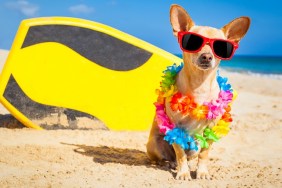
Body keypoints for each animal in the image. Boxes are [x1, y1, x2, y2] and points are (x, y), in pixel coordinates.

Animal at [147, 4, 250, 180]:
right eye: (193, 41)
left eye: (220, 47)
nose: (207, 56)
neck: (199, 85)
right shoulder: (175, 128)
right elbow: (180, 152)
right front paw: (183, 173)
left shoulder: (210, 131)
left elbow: (204, 154)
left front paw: (202, 172)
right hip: (154, 144)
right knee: (167, 158)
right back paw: (170, 164)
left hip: (194, 145)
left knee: (191, 156)